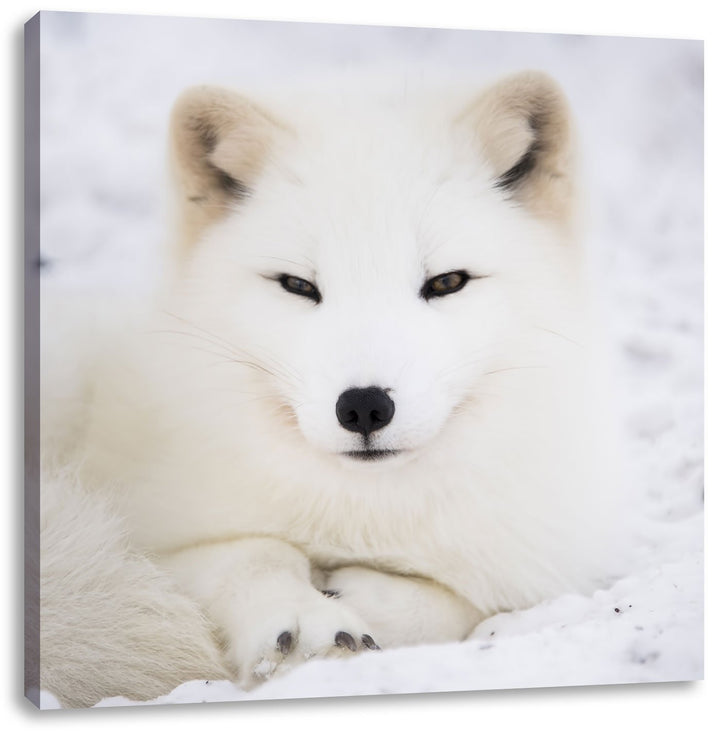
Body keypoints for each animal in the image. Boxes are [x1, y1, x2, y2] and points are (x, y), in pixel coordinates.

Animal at [37, 70, 625, 707]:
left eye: (447, 282)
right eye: (297, 285)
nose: (364, 406)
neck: (360, 512)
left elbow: (456, 603)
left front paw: (363, 602)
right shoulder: (155, 537)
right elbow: (253, 552)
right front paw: (304, 622)